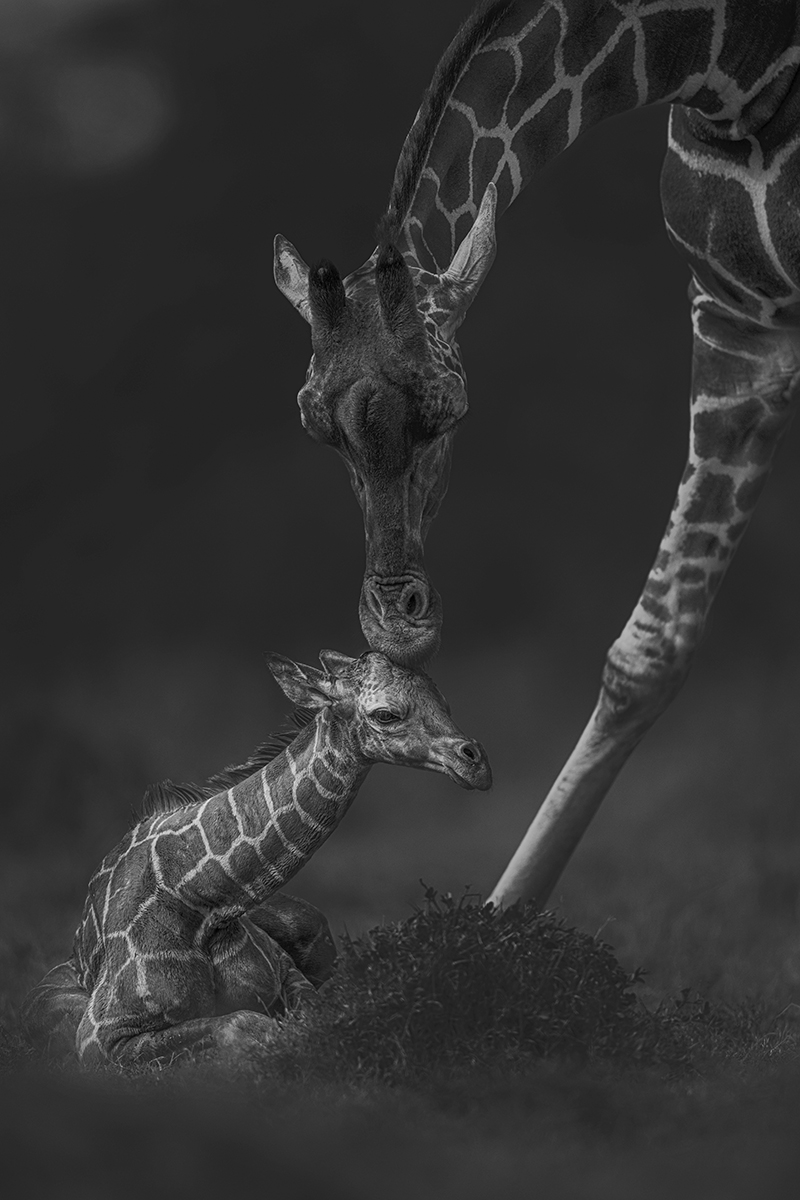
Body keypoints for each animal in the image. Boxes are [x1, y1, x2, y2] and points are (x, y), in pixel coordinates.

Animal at [21, 649, 490, 1067]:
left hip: (313, 925)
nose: (477, 763)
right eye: (385, 714)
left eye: (443, 701)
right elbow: (245, 1024)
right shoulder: (100, 1038)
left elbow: (312, 1014)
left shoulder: (285, 972)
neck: (199, 899)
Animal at [273, 0, 800, 909]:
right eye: (315, 424)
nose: (398, 626)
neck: (728, 66)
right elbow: (648, 651)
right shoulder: (740, 315)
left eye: (451, 410)